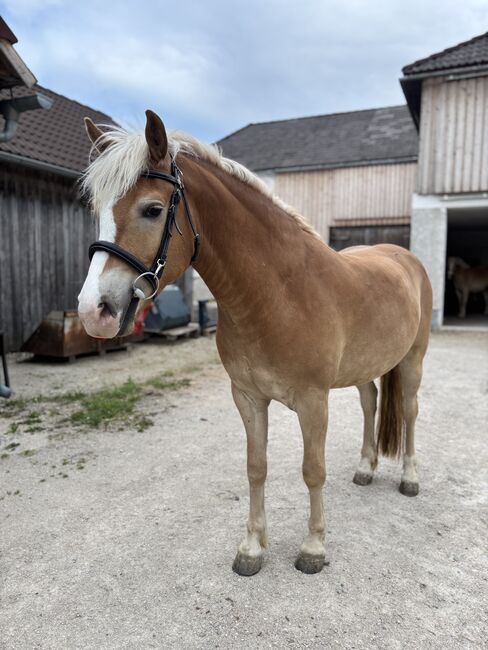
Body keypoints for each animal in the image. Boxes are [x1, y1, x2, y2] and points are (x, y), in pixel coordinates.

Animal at [77, 110, 432, 576]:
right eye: (96, 210)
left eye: (152, 210)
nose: (92, 311)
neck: (279, 294)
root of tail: (403, 255)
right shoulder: (247, 397)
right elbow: (256, 468)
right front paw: (251, 549)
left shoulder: (313, 401)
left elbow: (313, 470)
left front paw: (313, 549)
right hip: (365, 368)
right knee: (370, 402)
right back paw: (365, 468)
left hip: (412, 361)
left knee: (409, 411)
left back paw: (409, 478)